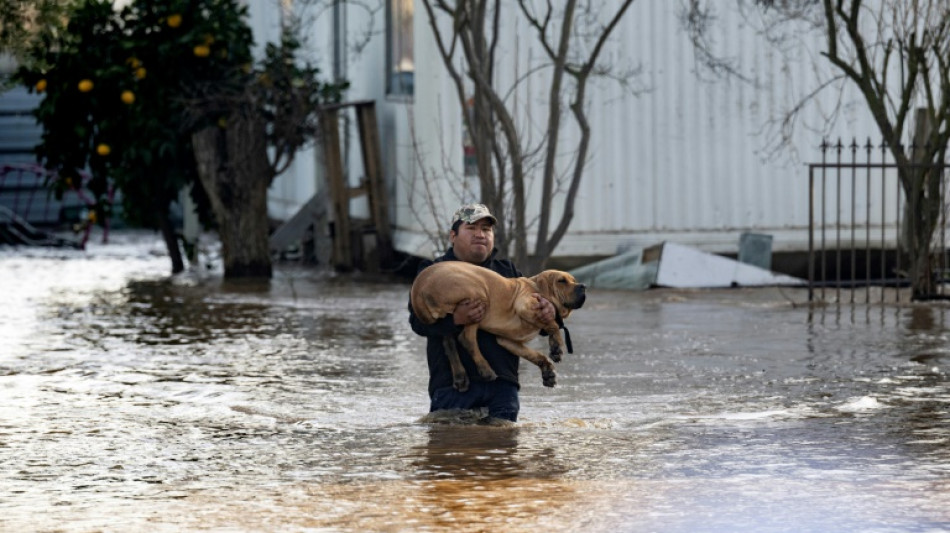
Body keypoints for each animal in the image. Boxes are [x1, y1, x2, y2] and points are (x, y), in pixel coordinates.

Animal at [410, 260, 588, 388]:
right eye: (561, 281)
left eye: (574, 280)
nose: (583, 286)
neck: (535, 286)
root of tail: (418, 286)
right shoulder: (525, 304)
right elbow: (552, 324)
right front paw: (556, 346)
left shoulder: (508, 341)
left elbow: (535, 354)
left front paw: (547, 372)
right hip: (478, 297)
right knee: (466, 339)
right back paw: (486, 370)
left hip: (449, 321)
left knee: (449, 344)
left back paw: (460, 377)